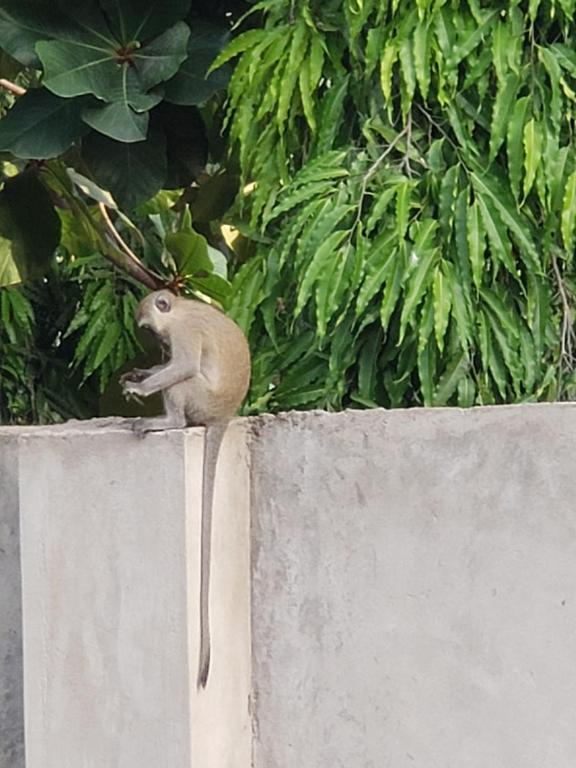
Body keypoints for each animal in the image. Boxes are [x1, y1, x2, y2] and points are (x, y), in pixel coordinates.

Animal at [120, 290, 251, 688]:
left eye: (152, 331)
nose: (160, 348)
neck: (181, 310)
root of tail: (223, 414)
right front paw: (141, 373)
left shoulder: (184, 333)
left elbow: (182, 367)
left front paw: (140, 385)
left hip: (199, 398)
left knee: (183, 381)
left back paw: (170, 421)